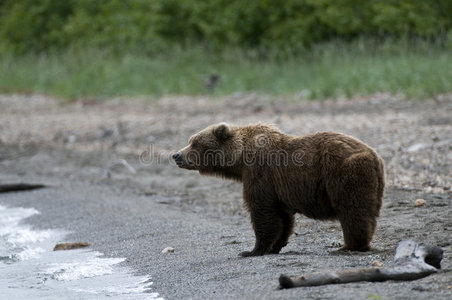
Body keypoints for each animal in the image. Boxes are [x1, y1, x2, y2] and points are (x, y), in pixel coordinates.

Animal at [173, 123, 384, 256]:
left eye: (195, 143)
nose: (176, 155)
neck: (240, 160)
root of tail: (375, 156)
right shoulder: (277, 187)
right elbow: (282, 217)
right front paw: (275, 245)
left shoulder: (261, 172)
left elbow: (262, 211)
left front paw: (252, 250)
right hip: (372, 184)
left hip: (344, 172)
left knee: (352, 210)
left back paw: (349, 246)